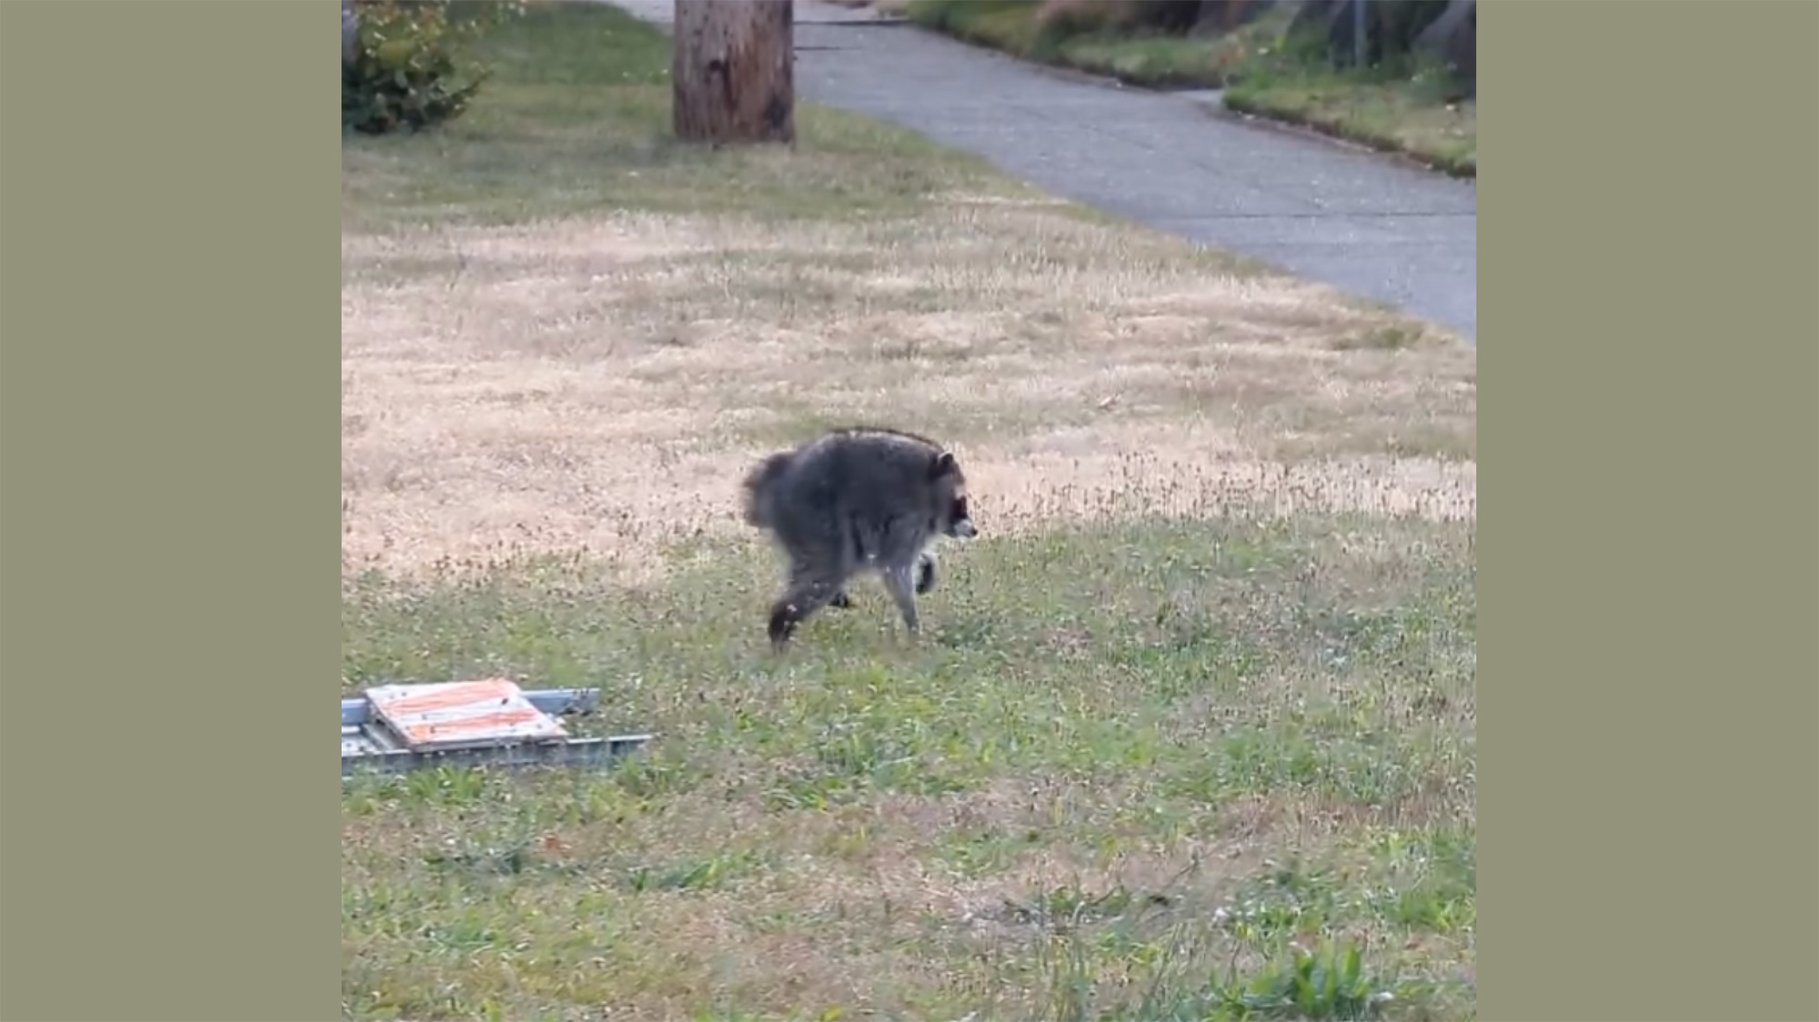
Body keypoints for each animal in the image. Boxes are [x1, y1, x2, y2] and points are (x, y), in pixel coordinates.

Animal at [742, 427, 977, 648]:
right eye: (961, 502)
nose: (974, 530)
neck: (930, 483)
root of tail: (775, 478)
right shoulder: (907, 518)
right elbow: (895, 569)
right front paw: (913, 626)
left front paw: (928, 562)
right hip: (812, 516)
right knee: (826, 571)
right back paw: (780, 625)